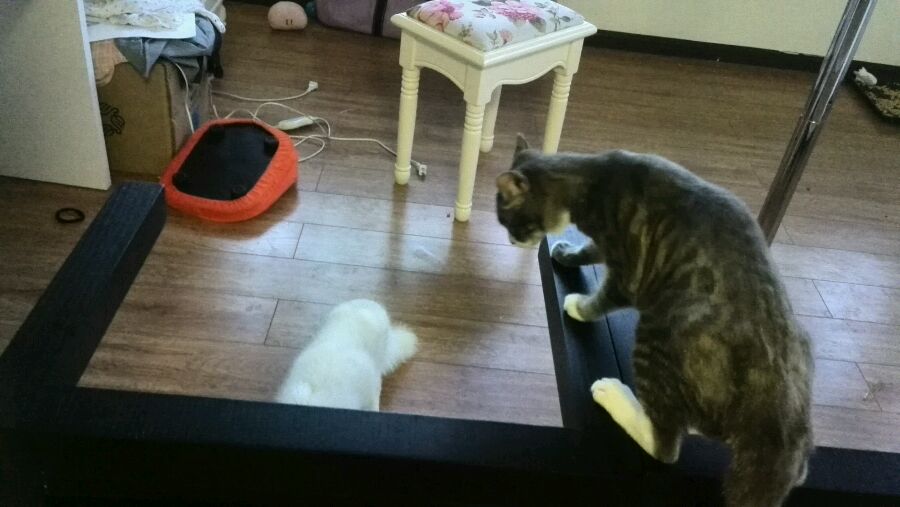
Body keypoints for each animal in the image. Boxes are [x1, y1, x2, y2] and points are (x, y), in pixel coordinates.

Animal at [496, 134, 813, 507]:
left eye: (509, 221)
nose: (511, 240)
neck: (592, 180)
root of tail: (777, 426)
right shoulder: (609, 247)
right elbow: (589, 250)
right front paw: (566, 253)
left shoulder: (628, 272)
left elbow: (601, 297)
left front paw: (579, 305)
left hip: (659, 333)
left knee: (666, 445)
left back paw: (614, 394)